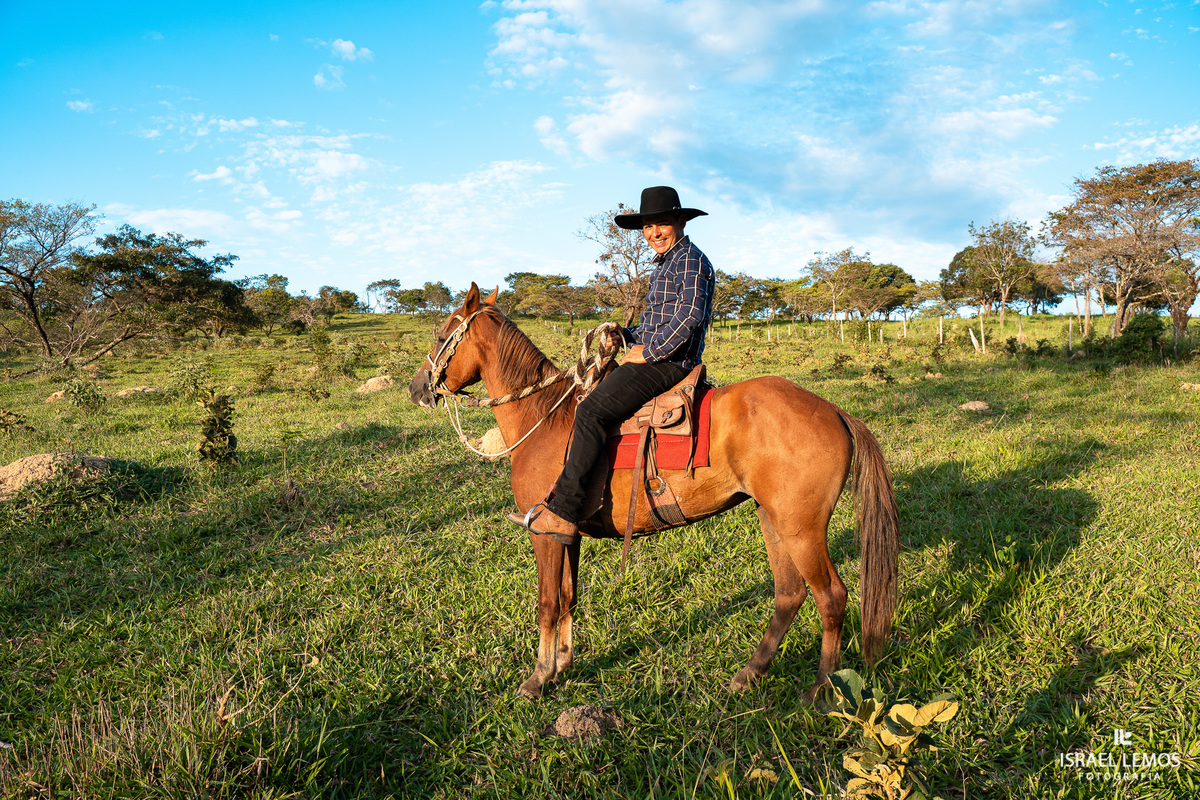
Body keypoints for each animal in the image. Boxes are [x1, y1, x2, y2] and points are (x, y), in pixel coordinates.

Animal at [408, 283, 899, 701]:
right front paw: (562, 665)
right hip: (773, 519)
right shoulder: (566, 533)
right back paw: (751, 672)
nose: (417, 388)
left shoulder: (543, 532)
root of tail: (834, 411)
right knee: (789, 594)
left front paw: (538, 677)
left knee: (831, 597)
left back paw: (822, 688)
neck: (543, 418)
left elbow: (547, 602)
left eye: (443, 333)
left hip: (800, 528)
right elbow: (568, 598)